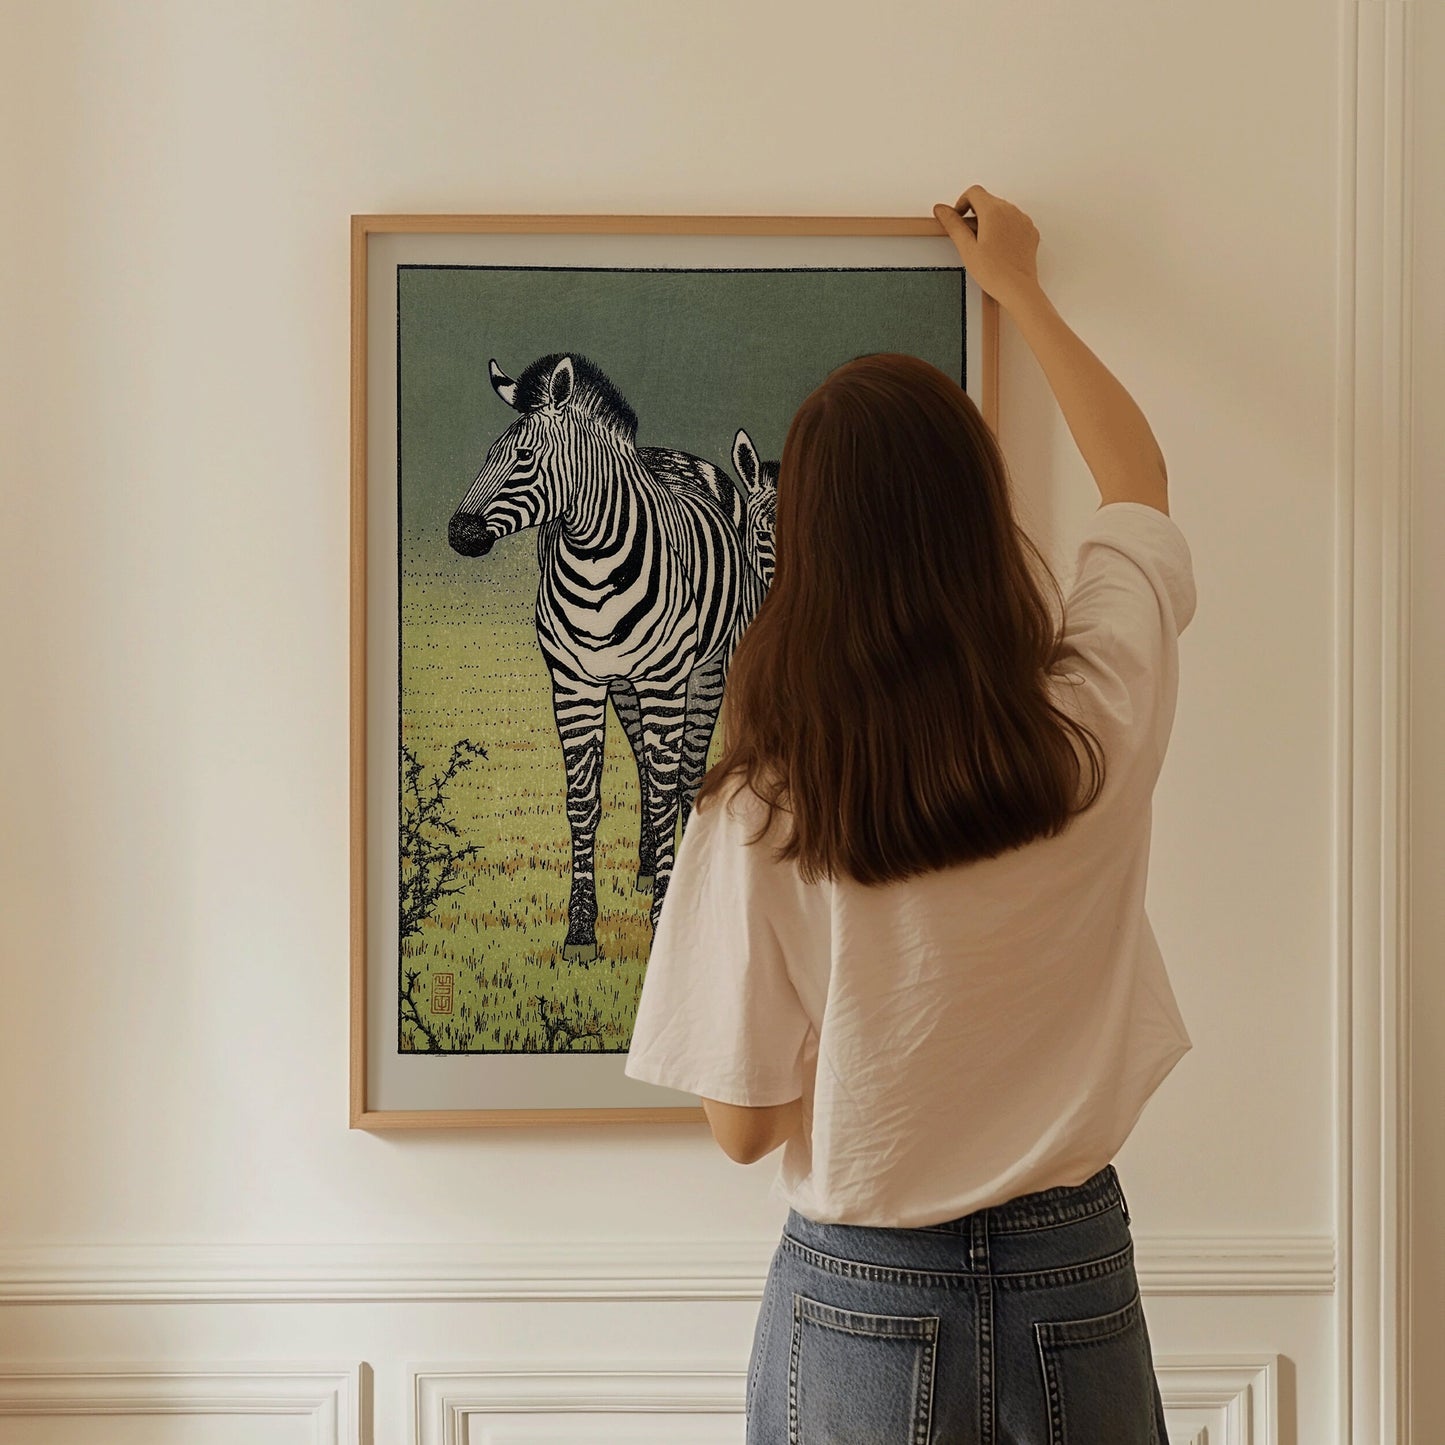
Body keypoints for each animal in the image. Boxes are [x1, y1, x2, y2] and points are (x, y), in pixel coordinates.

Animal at [447, 349, 745, 959]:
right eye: (488, 456)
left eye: (525, 459)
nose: (459, 533)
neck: (594, 562)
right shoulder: (574, 685)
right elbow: (583, 799)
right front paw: (581, 929)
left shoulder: (663, 682)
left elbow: (666, 789)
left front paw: (664, 917)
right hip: (624, 688)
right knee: (646, 767)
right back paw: (648, 865)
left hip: (704, 671)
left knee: (686, 771)